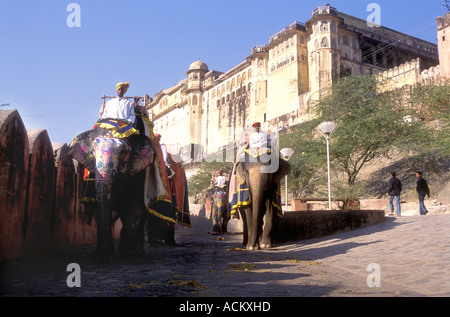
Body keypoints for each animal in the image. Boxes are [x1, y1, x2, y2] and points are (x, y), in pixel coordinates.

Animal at [68, 118, 156, 262]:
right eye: (93, 152)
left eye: (124, 154)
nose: (103, 258)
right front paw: (102, 256)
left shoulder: (139, 172)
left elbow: (138, 203)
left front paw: (124, 250)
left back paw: (136, 252)